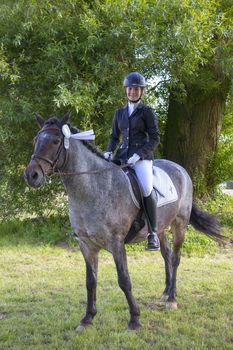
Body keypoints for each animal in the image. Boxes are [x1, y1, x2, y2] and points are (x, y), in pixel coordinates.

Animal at [24, 114, 226, 330]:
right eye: (36, 140)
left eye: (55, 141)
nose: (31, 175)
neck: (92, 189)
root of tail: (180, 168)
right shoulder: (86, 245)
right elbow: (90, 282)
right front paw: (87, 318)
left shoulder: (116, 243)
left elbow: (124, 280)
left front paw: (135, 319)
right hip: (160, 228)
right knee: (166, 255)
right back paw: (165, 293)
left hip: (179, 224)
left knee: (176, 257)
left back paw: (172, 299)